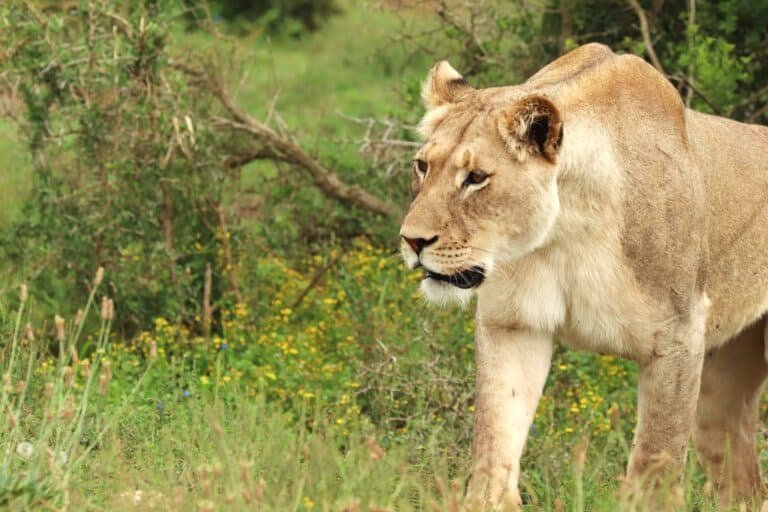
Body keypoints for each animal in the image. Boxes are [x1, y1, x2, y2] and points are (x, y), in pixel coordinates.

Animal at [399, 43, 768, 508]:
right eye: (422, 166)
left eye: (476, 178)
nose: (411, 240)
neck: (567, 230)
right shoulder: (513, 323)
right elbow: (495, 437)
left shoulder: (680, 335)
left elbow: (656, 458)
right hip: (719, 398)